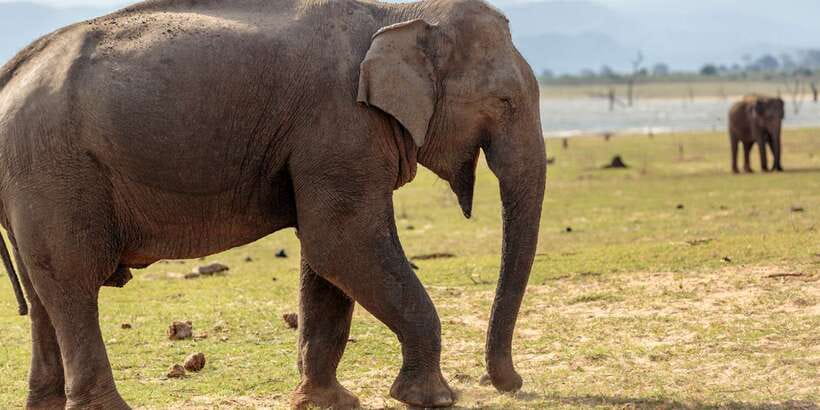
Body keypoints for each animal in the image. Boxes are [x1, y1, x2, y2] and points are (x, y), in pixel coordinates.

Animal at [0, 0, 547, 408]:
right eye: (505, 101)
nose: (508, 383)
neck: (398, 14)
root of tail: (13, 70)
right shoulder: (341, 124)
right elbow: (342, 244)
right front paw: (431, 399)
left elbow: (327, 261)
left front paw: (327, 402)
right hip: (53, 171)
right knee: (73, 285)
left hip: (33, 179)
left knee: (45, 292)